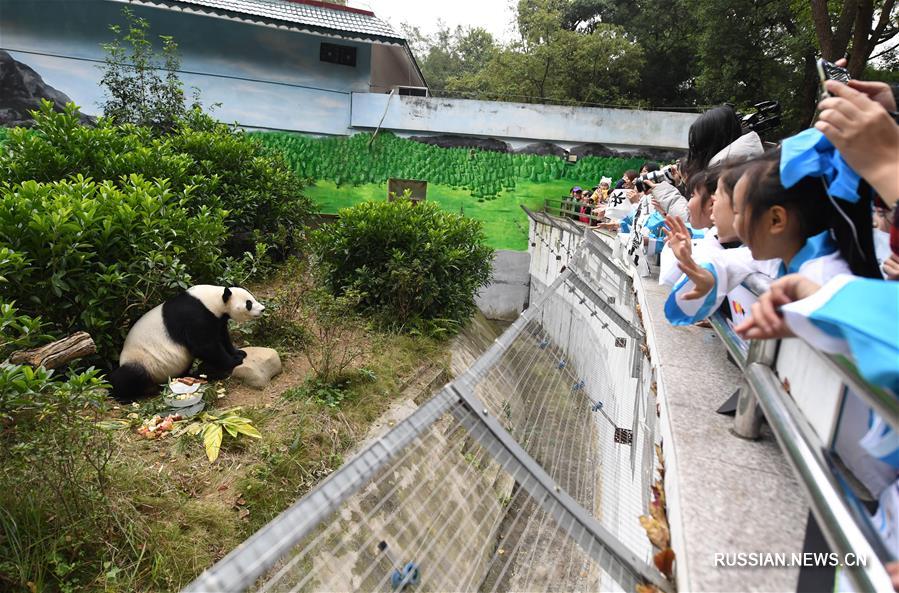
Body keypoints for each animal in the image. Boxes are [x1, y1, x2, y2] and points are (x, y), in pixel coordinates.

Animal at [108, 284, 264, 402]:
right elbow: (204, 346)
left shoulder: (217, 319)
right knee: (130, 375)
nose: (263, 309)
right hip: (141, 361)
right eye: (249, 303)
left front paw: (239, 352)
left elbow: (222, 336)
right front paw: (234, 360)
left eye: (252, 298)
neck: (211, 299)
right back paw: (123, 396)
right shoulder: (195, 316)